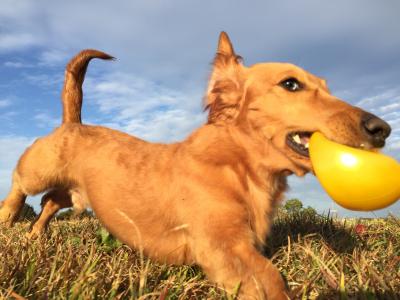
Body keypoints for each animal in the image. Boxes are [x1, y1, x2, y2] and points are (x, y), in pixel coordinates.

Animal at [0, 31, 390, 298]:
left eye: (327, 87)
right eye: (291, 84)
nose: (383, 130)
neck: (238, 165)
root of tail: (73, 122)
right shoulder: (223, 246)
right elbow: (269, 277)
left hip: (74, 194)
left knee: (50, 202)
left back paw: (34, 235)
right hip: (38, 170)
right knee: (21, 184)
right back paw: (8, 218)